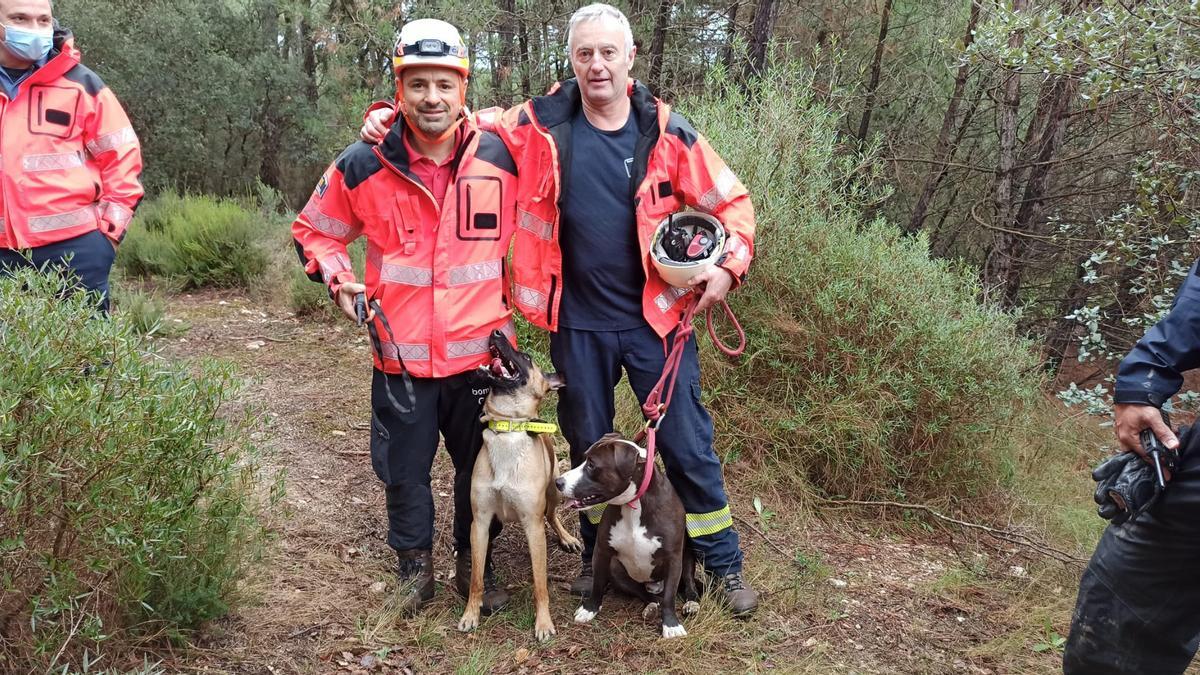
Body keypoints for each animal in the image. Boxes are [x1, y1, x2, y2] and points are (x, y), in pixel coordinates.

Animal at [453, 329, 580, 638]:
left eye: (526, 357)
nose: (496, 331)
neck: (507, 428)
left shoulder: (533, 526)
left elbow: (540, 584)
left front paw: (544, 623)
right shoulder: (480, 523)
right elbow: (476, 578)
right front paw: (471, 614)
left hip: (553, 489)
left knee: (552, 514)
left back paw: (567, 538)